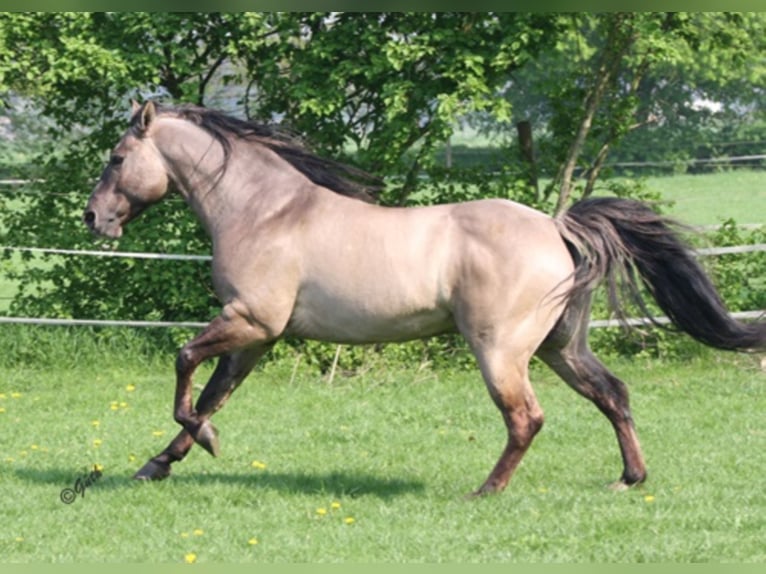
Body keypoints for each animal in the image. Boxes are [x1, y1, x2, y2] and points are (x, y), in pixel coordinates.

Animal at [83, 101, 765, 495]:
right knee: (612, 394)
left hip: (501, 350)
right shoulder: (255, 337)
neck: (265, 211)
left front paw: (201, 443)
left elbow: (184, 364)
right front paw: (162, 462)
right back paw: (631, 478)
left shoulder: (251, 321)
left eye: (117, 158)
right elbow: (213, 393)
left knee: (526, 418)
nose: (94, 218)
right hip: (559, 346)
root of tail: (556, 228)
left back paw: (486, 492)